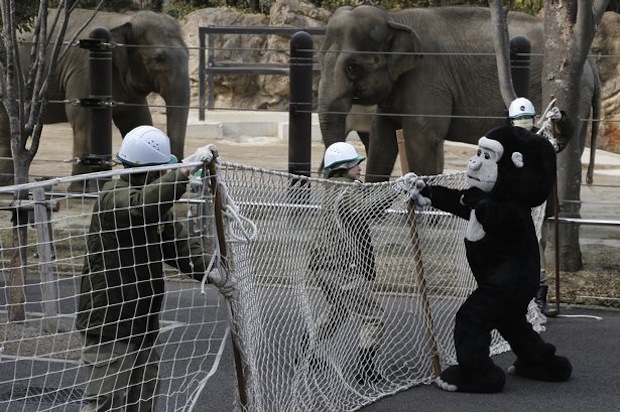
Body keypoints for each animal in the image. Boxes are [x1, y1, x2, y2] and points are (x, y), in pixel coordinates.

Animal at [0, 8, 189, 186]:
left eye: (188, 53)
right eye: (158, 59)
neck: (123, 20)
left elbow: (137, 121)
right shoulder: (84, 71)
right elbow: (84, 122)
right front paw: (80, 190)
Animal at [318, 5, 600, 183]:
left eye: (353, 67)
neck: (395, 19)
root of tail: (590, 62)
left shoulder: (428, 76)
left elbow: (422, 137)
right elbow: (382, 138)